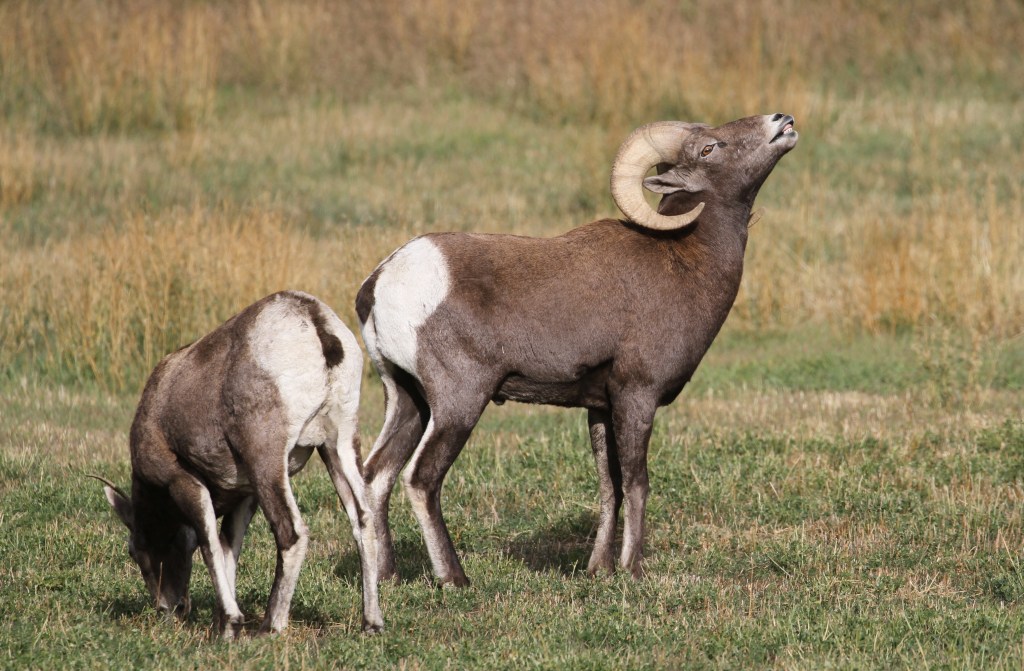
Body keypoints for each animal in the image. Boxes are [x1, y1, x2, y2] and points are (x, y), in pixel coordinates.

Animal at [94, 290, 382, 638]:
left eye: (133, 550)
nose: (170, 609)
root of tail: (316, 324)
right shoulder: (245, 495)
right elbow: (229, 549)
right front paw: (224, 628)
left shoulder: (184, 482)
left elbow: (209, 547)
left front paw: (231, 622)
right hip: (338, 446)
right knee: (363, 520)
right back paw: (372, 624)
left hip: (267, 461)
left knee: (291, 533)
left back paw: (271, 627)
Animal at [355, 114, 799, 585]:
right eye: (709, 149)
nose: (781, 121)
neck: (685, 261)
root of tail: (380, 282)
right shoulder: (637, 396)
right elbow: (637, 483)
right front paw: (632, 570)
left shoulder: (600, 408)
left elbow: (610, 487)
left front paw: (599, 569)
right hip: (459, 402)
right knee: (421, 479)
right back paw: (455, 578)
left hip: (407, 399)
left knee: (376, 475)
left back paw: (386, 576)